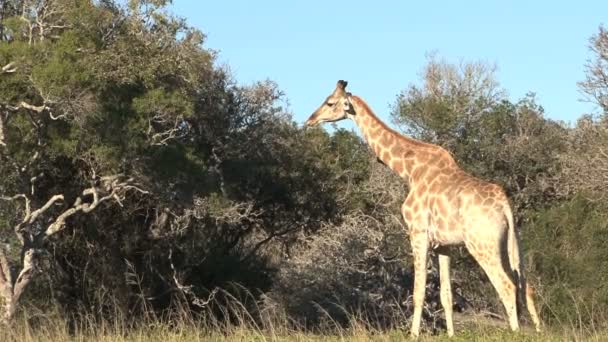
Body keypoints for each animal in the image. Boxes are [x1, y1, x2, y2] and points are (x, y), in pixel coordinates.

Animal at [304, 79, 540, 336]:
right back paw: (538, 330)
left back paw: (515, 331)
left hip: (482, 244)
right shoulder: (444, 245)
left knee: (507, 285)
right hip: (510, 244)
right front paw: (451, 334)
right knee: (525, 285)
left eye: (330, 102)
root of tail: (504, 204)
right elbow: (446, 294)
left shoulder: (418, 232)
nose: (310, 120)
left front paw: (413, 334)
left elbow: (418, 291)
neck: (409, 170)